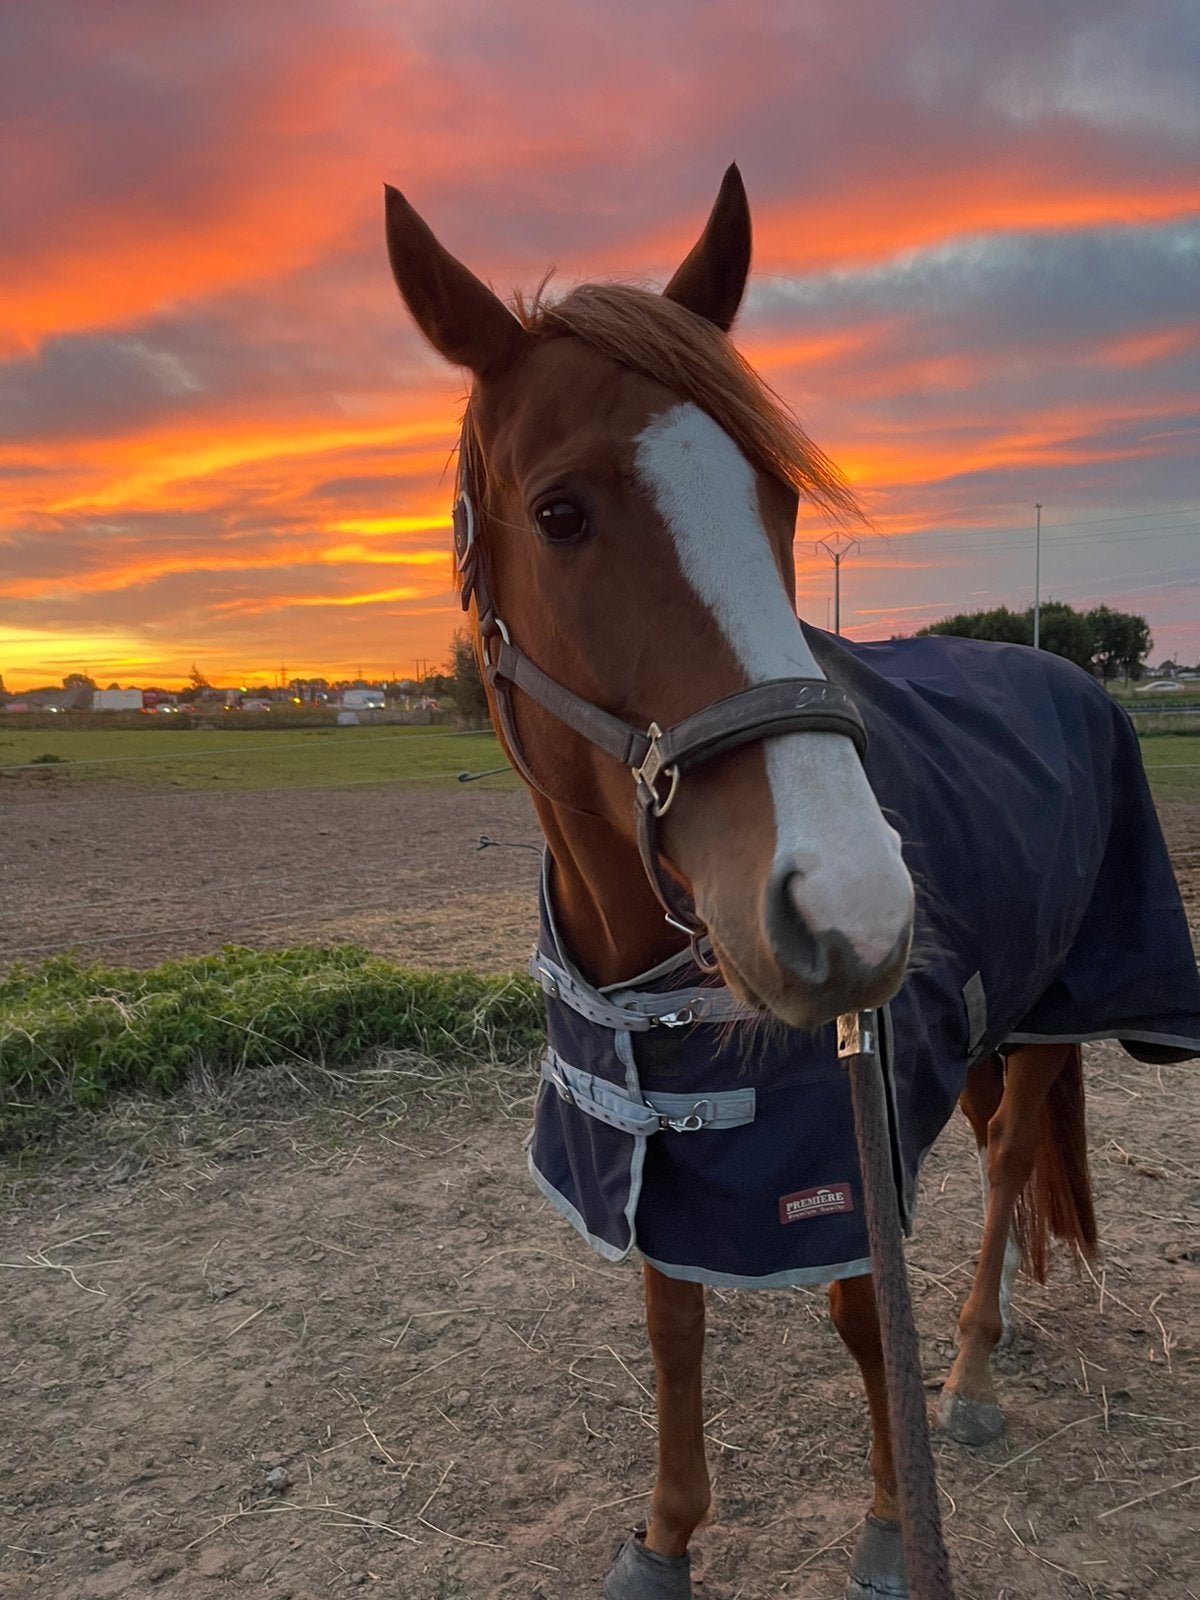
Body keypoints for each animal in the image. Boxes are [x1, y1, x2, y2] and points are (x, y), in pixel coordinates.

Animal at [383, 166, 1200, 1600]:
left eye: (781, 501)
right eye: (559, 511)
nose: (853, 907)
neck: (650, 969)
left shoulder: (844, 1129)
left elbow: (863, 1305)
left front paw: (888, 1525)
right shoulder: (649, 1139)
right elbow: (672, 1319)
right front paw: (664, 1535)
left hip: (1058, 1004)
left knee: (1006, 1158)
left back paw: (972, 1367)